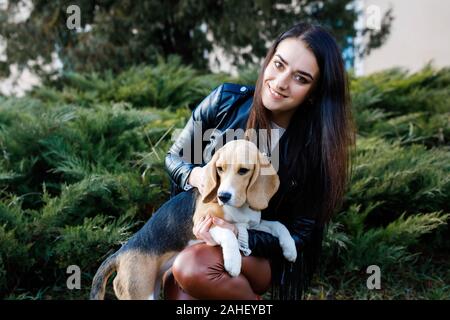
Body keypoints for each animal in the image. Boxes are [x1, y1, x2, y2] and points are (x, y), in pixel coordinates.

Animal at [90, 139, 298, 300]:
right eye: (220, 169)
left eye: (243, 171)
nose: (223, 196)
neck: (241, 207)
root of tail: (120, 253)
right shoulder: (202, 223)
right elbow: (228, 233)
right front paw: (233, 262)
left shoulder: (252, 225)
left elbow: (278, 225)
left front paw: (290, 249)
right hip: (139, 293)